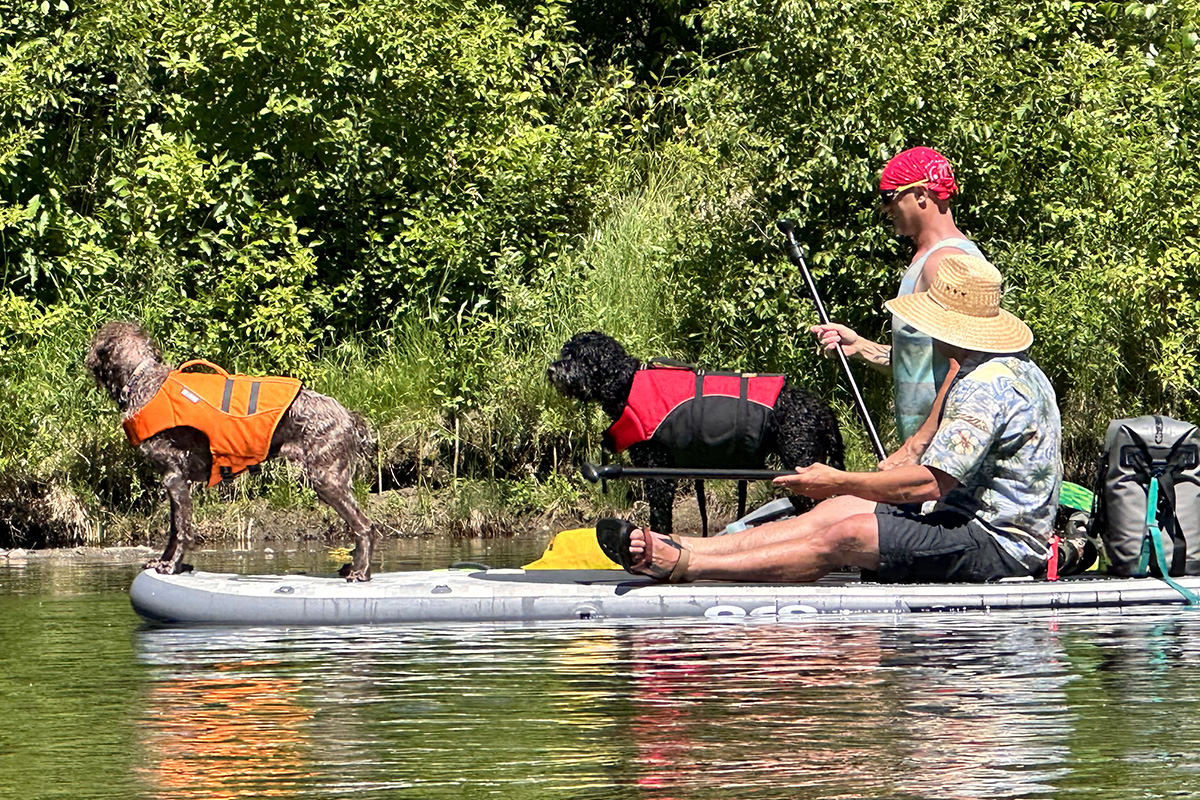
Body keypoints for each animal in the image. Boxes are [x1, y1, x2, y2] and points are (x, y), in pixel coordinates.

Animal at [87, 321, 376, 582]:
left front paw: (172, 565)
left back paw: (360, 572)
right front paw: (164, 561)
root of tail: (350, 418)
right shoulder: (177, 482)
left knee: (365, 526)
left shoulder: (174, 477)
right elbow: (174, 528)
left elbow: (181, 530)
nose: (85, 359)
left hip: (327, 479)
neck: (143, 379)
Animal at [547, 328, 844, 534]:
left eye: (578, 356)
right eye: (564, 352)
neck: (626, 383)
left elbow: (660, 516)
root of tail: (822, 409)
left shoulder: (658, 470)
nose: (551, 369)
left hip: (801, 464)